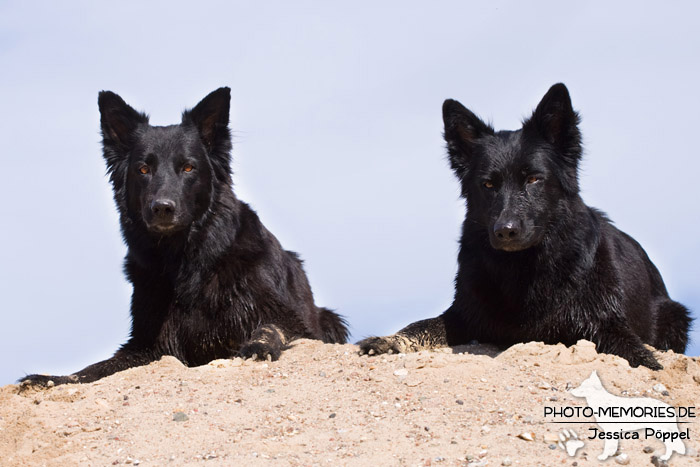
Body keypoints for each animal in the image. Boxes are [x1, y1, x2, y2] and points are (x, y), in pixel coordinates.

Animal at [21, 88, 348, 388]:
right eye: (143, 169)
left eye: (189, 167)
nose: (163, 208)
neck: (188, 264)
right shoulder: (147, 345)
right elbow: (95, 368)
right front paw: (56, 378)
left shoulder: (292, 321)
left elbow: (271, 328)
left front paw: (258, 345)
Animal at [360, 83, 688, 370]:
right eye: (488, 184)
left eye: (533, 179)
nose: (506, 230)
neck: (524, 268)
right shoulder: (464, 314)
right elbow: (422, 326)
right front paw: (388, 341)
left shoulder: (605, 323)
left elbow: (637, 355)